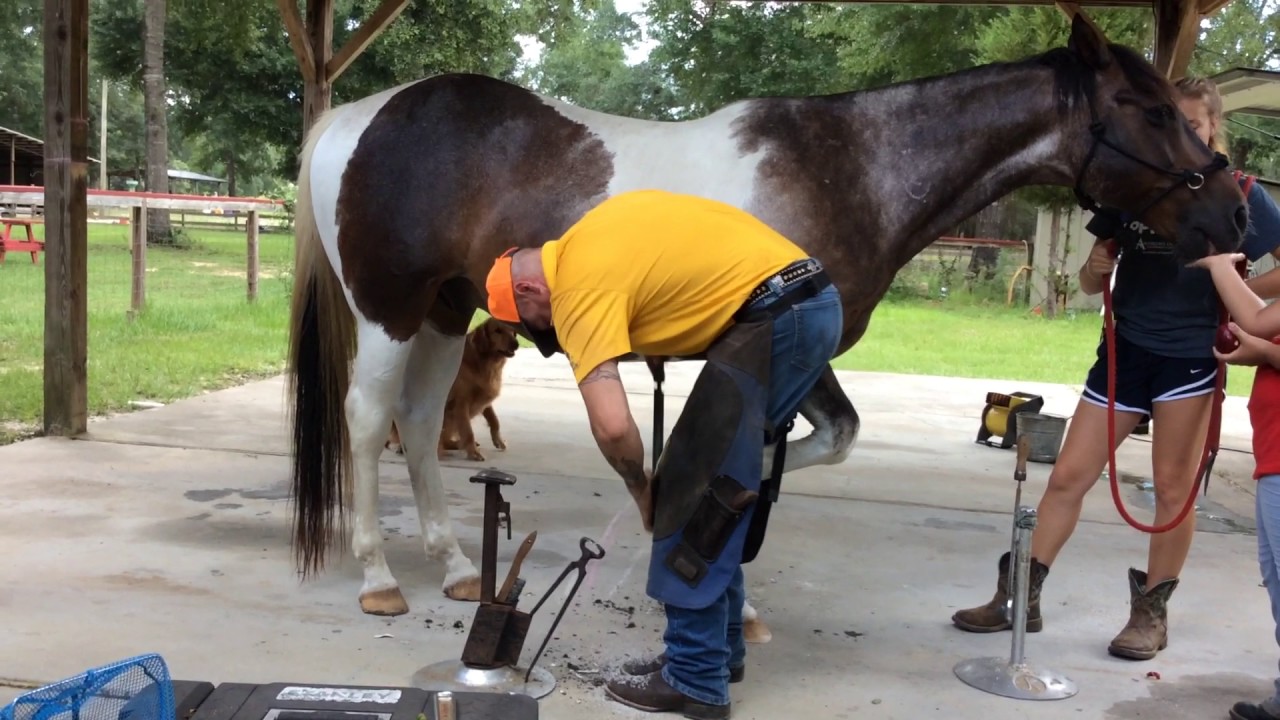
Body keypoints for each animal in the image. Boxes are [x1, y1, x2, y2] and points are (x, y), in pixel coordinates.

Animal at [284, 15, 1248, 625]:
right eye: (1152, 112)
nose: (1233, 218)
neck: (856, 166)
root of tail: (359, 115)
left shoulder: (804, 352)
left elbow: (821, 443)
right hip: (389, 313)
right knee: (368, 421)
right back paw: (379, 579)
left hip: (445, 313)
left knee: (418, 424)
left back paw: (454, 568)